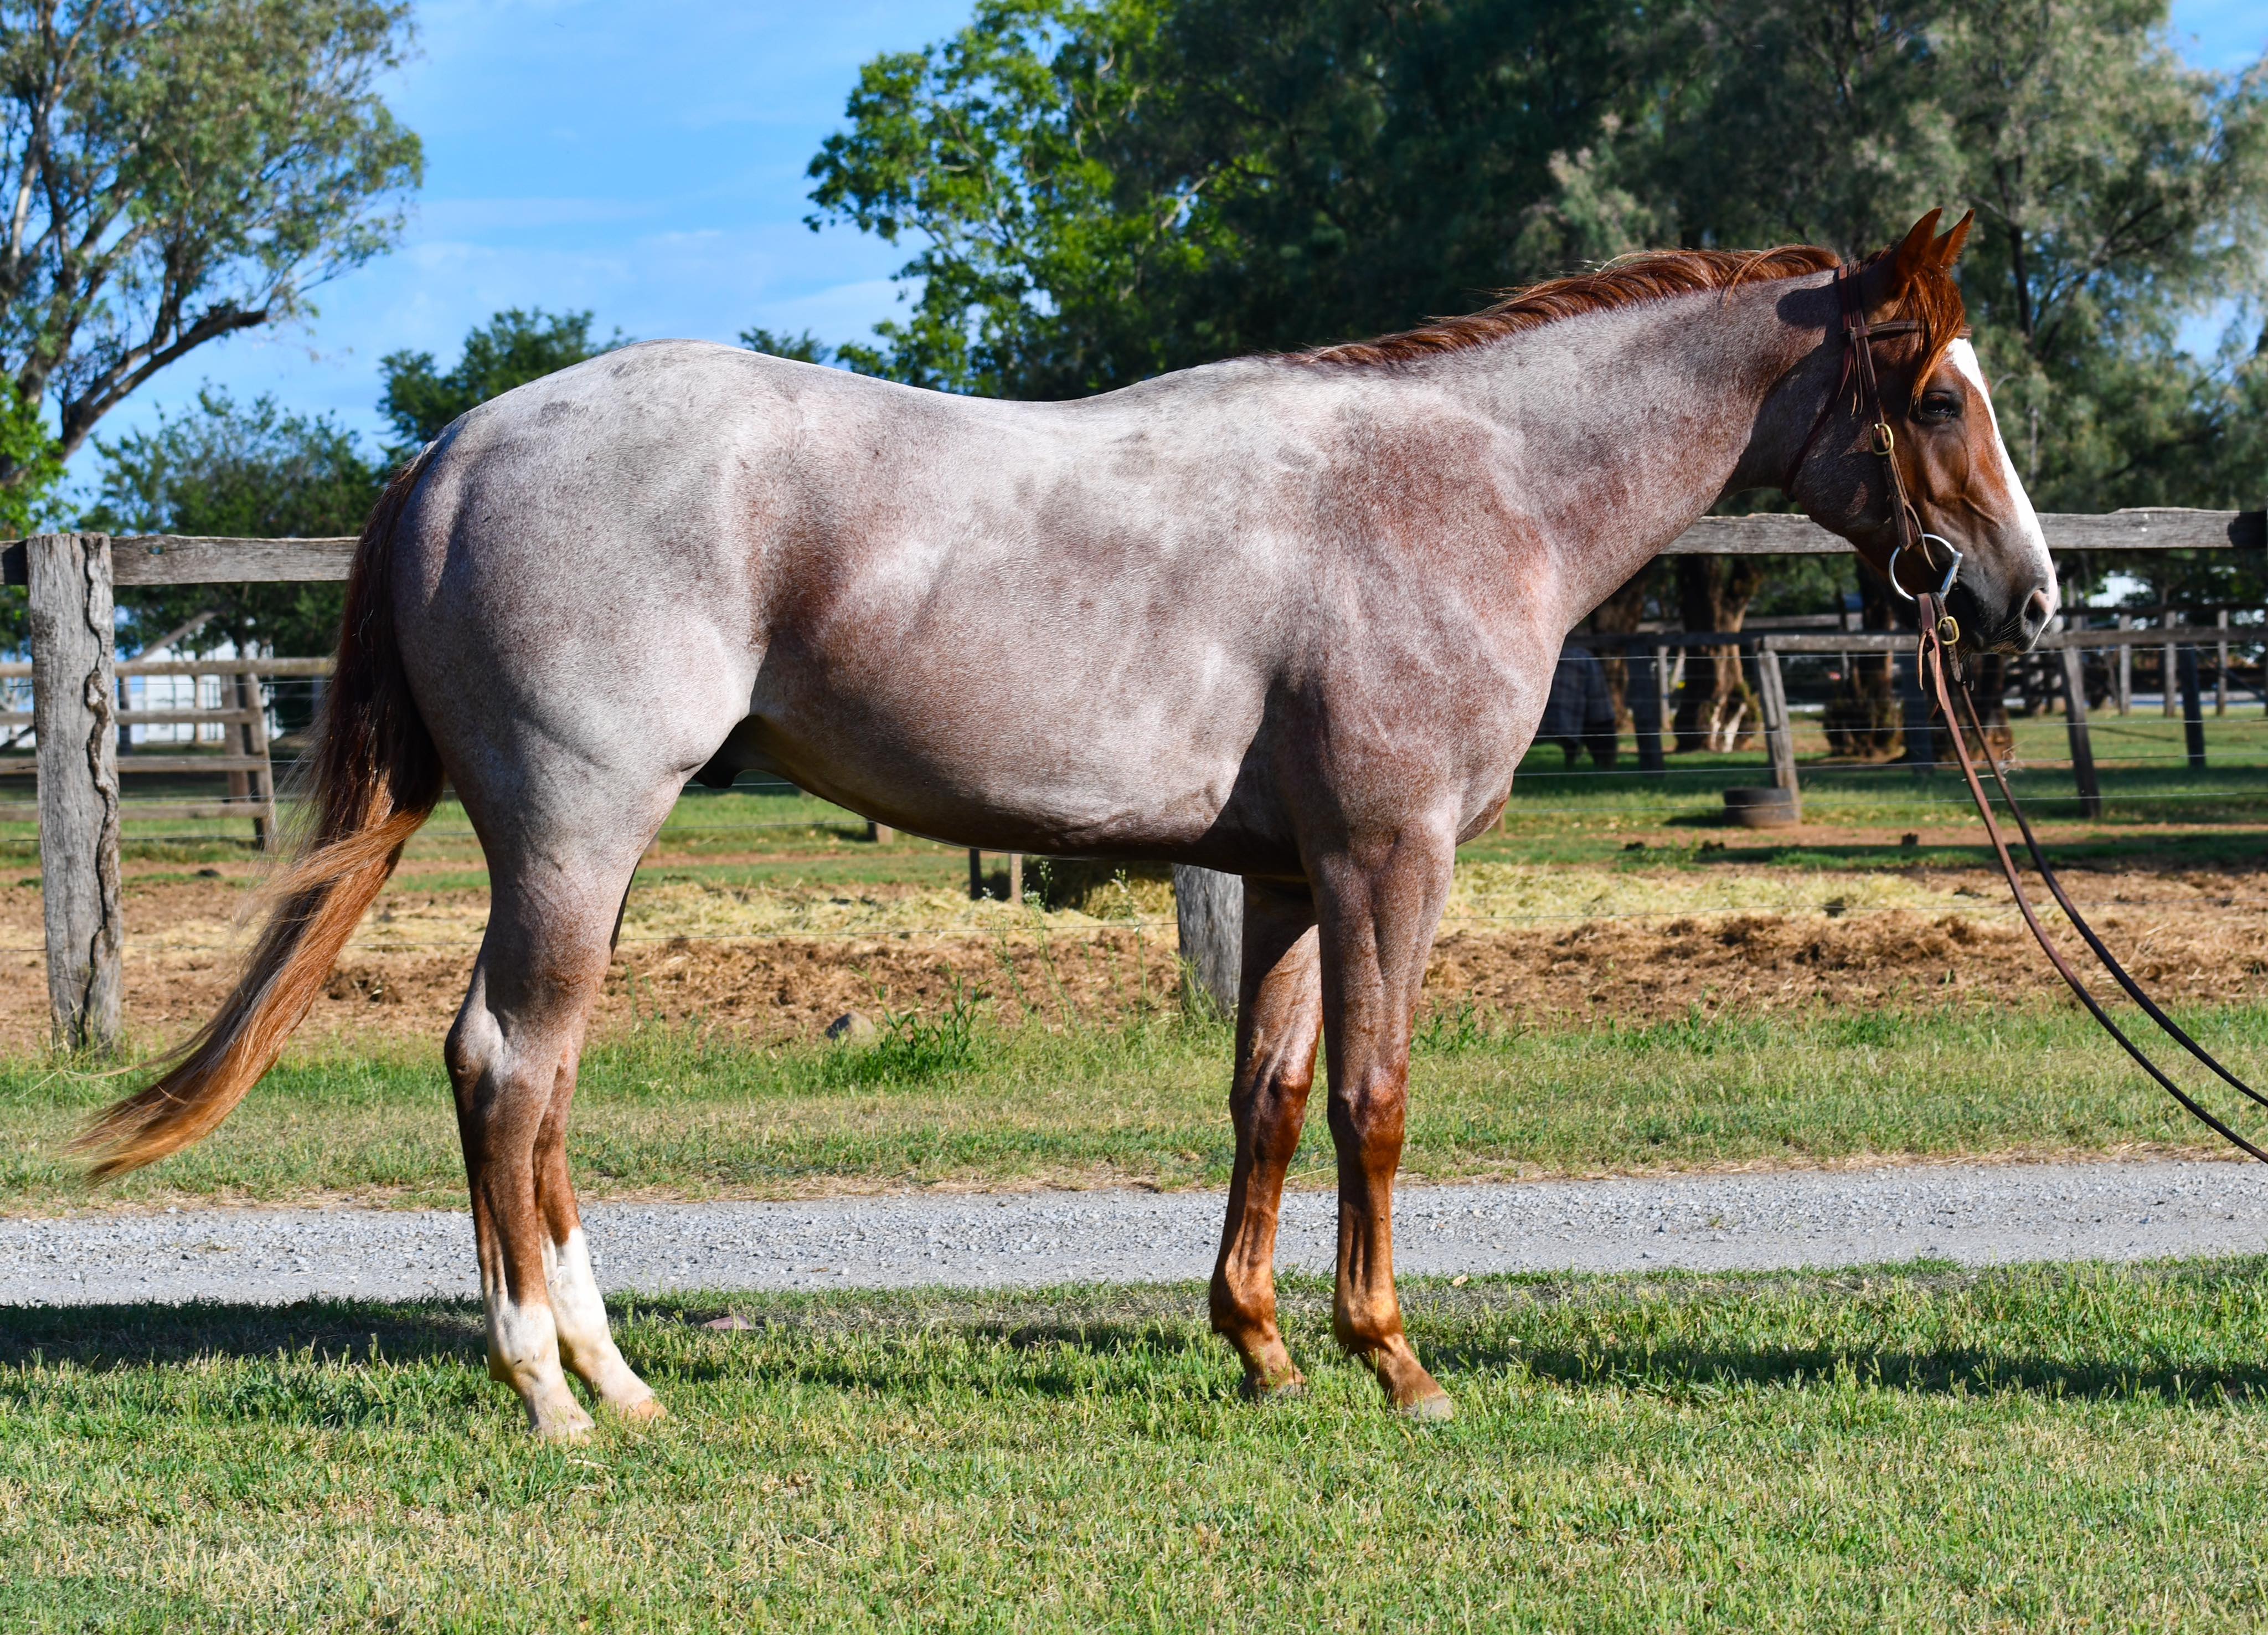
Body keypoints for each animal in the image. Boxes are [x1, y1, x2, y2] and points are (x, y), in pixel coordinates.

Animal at [81, 208, 2053, 1437]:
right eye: (1939, 395)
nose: (2026, 602)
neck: (1467, 487)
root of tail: (457, 447)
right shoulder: (1389, 863)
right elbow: (1376, 1101)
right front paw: (1393, 1361)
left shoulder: (1287, 881)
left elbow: (1269, 1101)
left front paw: (1262, 1350)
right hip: (575, 837)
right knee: (508, 1067)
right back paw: (549, 1392)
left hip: (586, 861)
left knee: (540, 1085)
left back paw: (618, 1378)